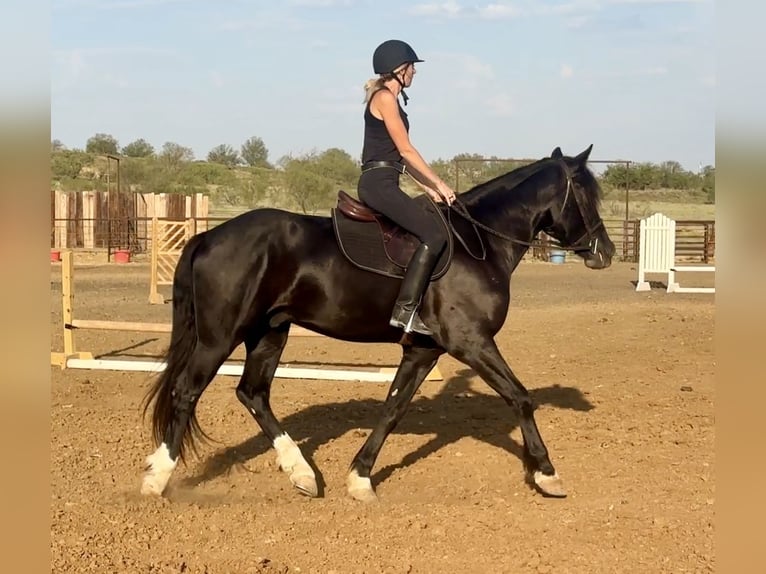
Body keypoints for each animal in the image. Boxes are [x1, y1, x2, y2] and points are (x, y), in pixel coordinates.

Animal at [140, 145, 616, 504]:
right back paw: (157, 479)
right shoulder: (471, 341)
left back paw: (302, 473)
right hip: (219, 337)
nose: (606, 252)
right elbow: (520, 397)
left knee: (253, 393)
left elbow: (393, 408)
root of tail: (208, 236)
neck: (480, 241)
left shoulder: (424, 350)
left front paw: (360, 477)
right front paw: (547, 474)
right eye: (586, 194)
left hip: (269, 332)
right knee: (186, 392)